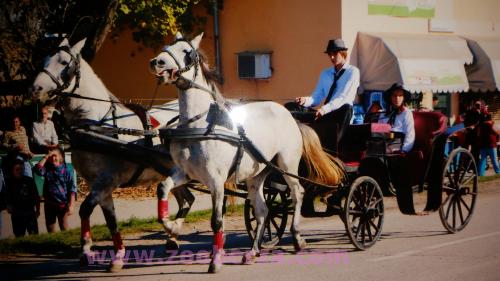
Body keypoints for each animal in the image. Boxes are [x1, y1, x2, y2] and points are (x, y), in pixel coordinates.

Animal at [30, 38, 192, 270]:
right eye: (44, 59)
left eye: (63, 62)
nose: (36, 88)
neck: (97, 123)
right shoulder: (98, 185)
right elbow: (110, 219)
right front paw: (116, 256)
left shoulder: (106, 181)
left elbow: (85, 209)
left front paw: (88, 250)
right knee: (187, 200)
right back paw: (172, 238)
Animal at [148, 32, 344, 272]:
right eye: (167, 46)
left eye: (186, 52)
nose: (156, 62)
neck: (199, 124)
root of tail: (291, 116)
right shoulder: (185, 173)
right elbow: (162, 188)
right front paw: (172, 226)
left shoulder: (216, 180)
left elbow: (216, 221)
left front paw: (215, 260)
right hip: (256, 175)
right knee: (263, 211)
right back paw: (253, 251)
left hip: (287, 166)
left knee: (297, 193)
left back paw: (297, 238)